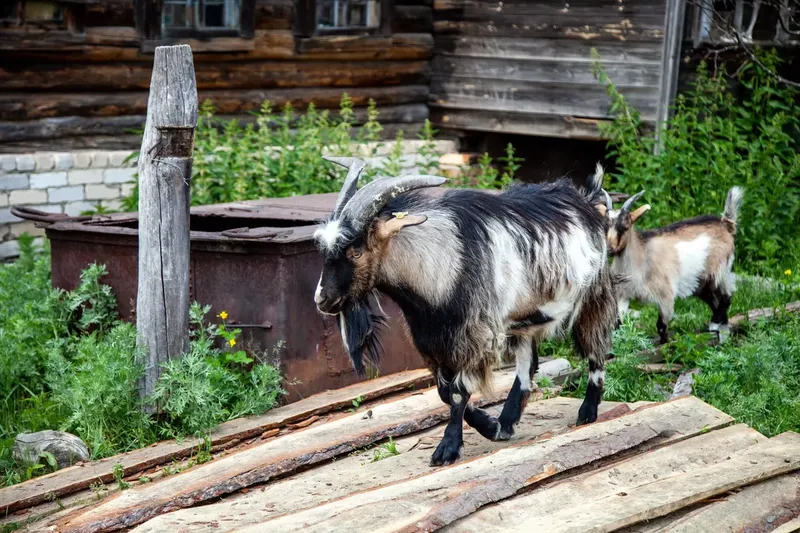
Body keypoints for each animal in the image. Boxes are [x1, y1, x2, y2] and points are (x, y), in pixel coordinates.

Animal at [313, 156, 617, 466]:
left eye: (356, 252)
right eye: (323, 250)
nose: (322, 300)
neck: (444, 261)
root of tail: (590, 199)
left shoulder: (472, 335)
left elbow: (458, 392)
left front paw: (447, 448)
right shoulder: (432, 340)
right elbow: (444, 392)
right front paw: (489, 425)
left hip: (593, 294)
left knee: (596, 349)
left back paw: (587, 413)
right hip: (523, 315)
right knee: (527, 363)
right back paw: (506, 423)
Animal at [603, 185, 744, 343]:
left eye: (624, 227)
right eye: (604, 226)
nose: (609, 249)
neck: (642, 256)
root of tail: (725, 224)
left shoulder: (665, 295)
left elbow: (661, 325)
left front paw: (665, 343)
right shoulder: (623, 294)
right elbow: (617, 323)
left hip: (719, 270)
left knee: (727, 297)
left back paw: (715, 325)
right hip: (701, 283)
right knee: (715, 301)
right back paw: (721, 334)